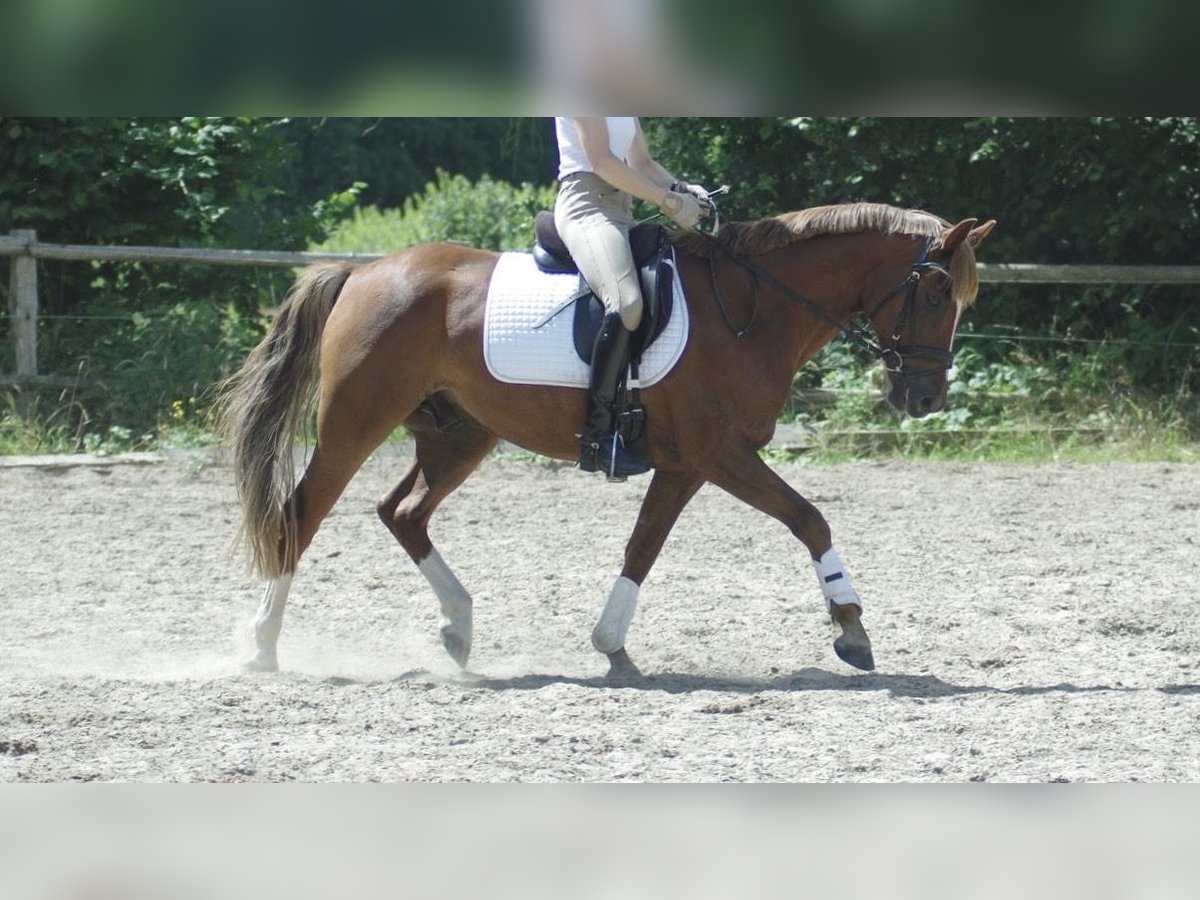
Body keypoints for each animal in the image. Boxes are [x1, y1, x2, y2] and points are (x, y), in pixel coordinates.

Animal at [216, 199, 993, 676]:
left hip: (461, 434)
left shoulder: (687, 464)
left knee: (401, 512)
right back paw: (261, 647)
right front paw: (851, 627)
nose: (925, 398)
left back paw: (459, 627)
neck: (753, 308)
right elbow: (809, 518)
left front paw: (611, 644)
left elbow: (642, 548)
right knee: (301, 515)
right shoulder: (722, 453)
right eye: (933, 293)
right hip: (356, 421)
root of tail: (364, 271)